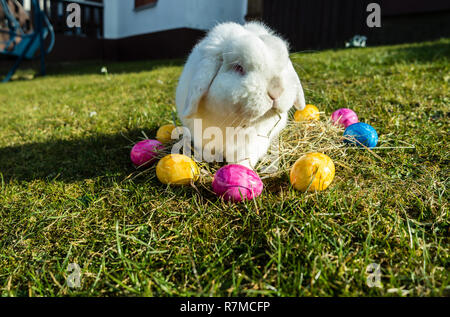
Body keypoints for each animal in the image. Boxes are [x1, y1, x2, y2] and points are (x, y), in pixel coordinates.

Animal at [176, 21, 306, 168]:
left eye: (282, 66)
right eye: (238, 67)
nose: (276, 90)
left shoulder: (251, 143)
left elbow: (244, 158)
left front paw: (242, 168)